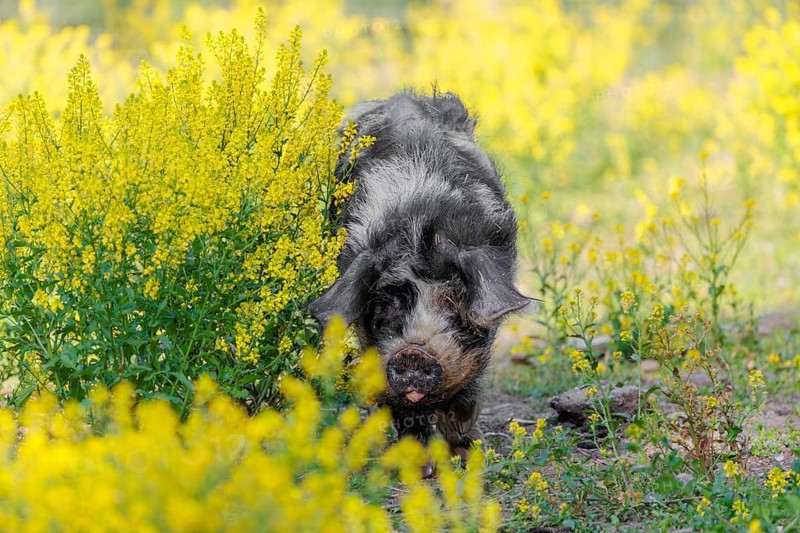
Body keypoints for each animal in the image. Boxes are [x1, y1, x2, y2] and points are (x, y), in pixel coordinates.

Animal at [309, 91, 534, 476]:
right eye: (384, 305)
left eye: (454, 301)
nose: (413, 352)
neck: (419, 226)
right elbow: (403, 411)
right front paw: (419, 470)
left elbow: (466, 394)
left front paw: (468, 456)